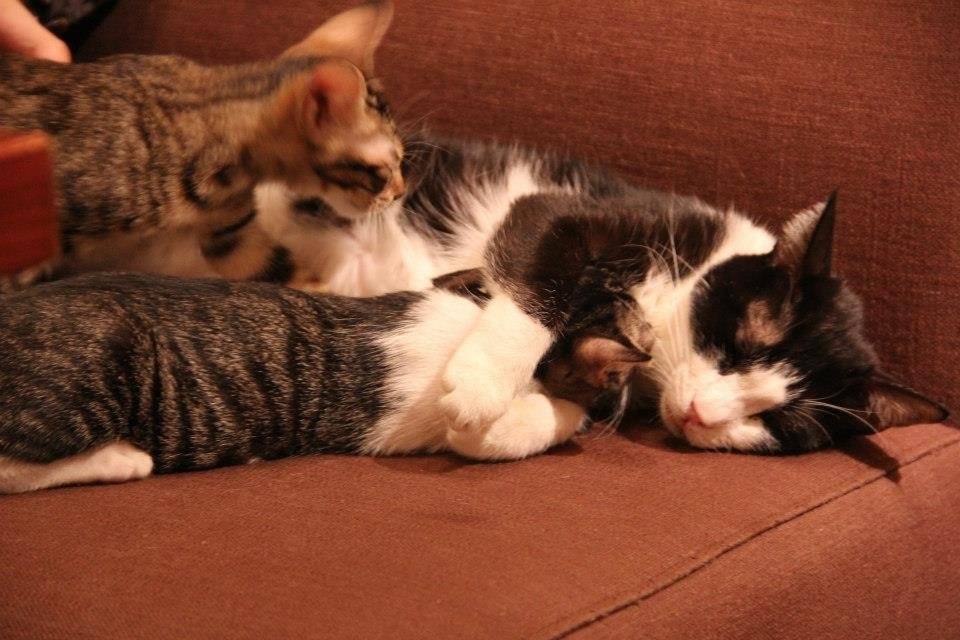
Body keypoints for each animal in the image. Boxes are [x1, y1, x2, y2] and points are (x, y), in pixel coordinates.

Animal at [0, 270, 641, 493]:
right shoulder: (468, 425)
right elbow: (538, 417)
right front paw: (572, 411)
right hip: (99, 365)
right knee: (11, 468)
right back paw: (121, 460)